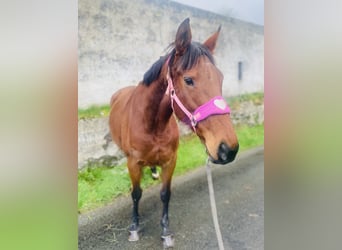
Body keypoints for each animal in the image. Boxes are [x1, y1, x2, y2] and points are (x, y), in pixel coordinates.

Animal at [109, 18, 238, 248]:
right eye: (188, 80)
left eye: (220, 78)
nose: (228, 149)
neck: (152, 125)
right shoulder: (133, 163)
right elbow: (136, 194)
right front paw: (134, 227)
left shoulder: (170, 161)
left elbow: (165, 194)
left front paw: (166, 231)